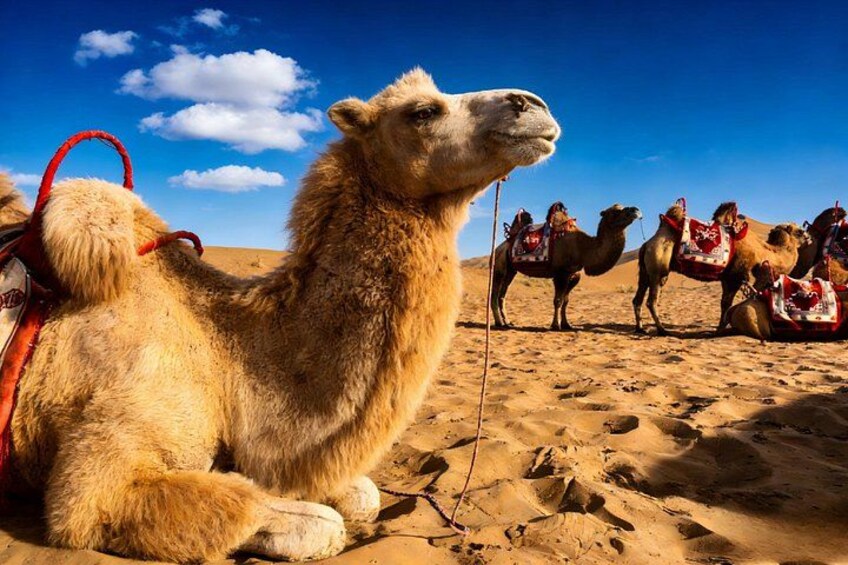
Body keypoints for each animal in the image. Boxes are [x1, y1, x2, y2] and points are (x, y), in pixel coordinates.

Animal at [1, 69, 560, 562]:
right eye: (422, 111)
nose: (534, 104)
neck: (227, 359)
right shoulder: (103, 469)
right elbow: (309, 522)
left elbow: (363, 496)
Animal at [491, 204, 642, 330]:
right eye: (616, 211)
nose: (635, 210)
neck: (584, 248)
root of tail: (499, 248)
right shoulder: (560, 273)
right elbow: (558, 301)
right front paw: (555, 325)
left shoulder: (574, 275)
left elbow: (566, 301)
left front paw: (567, 324)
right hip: (499, 267)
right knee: (494, 293)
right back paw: (499, 323)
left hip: (511, 271)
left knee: (502, 295)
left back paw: (508, 322)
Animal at [633, 201, 809, 335]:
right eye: (800, 231)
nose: (809, 238)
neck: (761, 251)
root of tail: (648, 243)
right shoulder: (736, 276)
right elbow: (727, 303)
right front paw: (720, 329)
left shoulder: (727, 277)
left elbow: (724, 303)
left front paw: (720, 327)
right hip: (658, 269)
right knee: (651, 301)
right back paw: (662, 330)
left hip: (645, 271)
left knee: (638, 299)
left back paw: (641, 328)